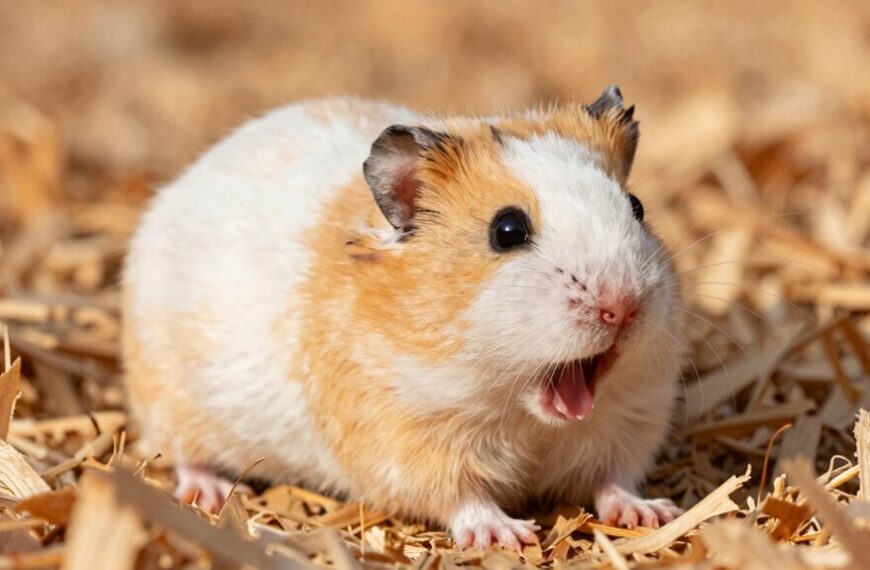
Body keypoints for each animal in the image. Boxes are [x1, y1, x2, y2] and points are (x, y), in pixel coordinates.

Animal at [123, 86, 686, 549]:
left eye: (636, 208)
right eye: (507, 230)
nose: (624, 305)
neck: (520, 412)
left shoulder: (632, 420)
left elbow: (614, 479)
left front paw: (652, 515)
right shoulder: (406, 438)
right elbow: (462, 498)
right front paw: (510, 536)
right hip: (173, 404)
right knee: (183, 454)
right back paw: (211, 494)